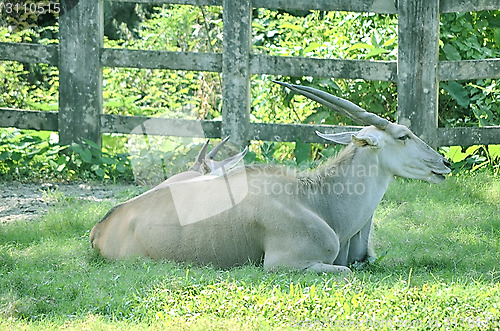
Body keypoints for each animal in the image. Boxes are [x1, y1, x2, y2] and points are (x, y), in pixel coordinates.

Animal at [91, 81, 454, 274]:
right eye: (404, 136)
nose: (445, 162)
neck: (315, 199)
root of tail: (101, 227)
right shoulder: (286, 265)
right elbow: (347, 271)